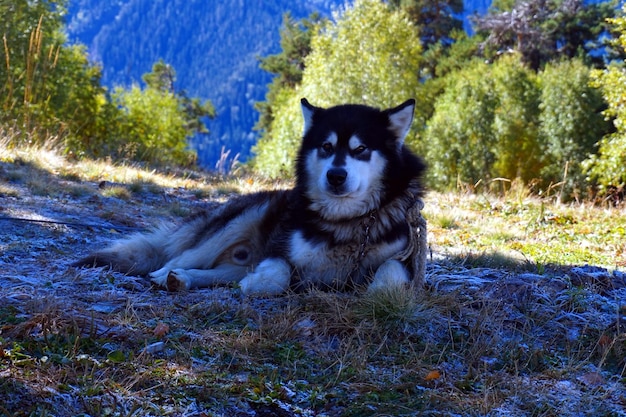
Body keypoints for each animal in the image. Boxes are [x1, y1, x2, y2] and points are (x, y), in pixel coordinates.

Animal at [72, 98, 424, 294]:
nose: (336, 176)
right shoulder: (279, 249)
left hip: (235, 254)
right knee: (176, 259)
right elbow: (280, 272)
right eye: (326, 146)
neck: (348, 223)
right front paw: (259, 283)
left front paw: (381, 290)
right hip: (238, 221)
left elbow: (392, 270)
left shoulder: (406, 256)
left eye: (360, 149)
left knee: (215, 271)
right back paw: (166, 276)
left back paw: (183, 280)